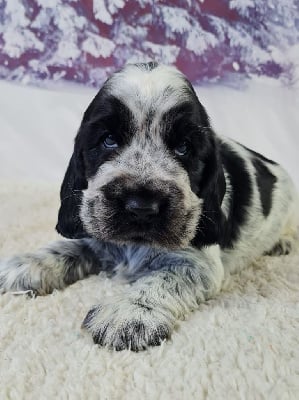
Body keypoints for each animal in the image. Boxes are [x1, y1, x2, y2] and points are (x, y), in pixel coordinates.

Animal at [0, 61, 298, 352]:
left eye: (183, 147)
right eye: (108, 139)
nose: (141, 206)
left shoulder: (195, 263)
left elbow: (163, 279)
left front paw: (130, 312)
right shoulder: (95, 230)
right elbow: (67, 247)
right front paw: (25, 264)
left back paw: (282, 243)